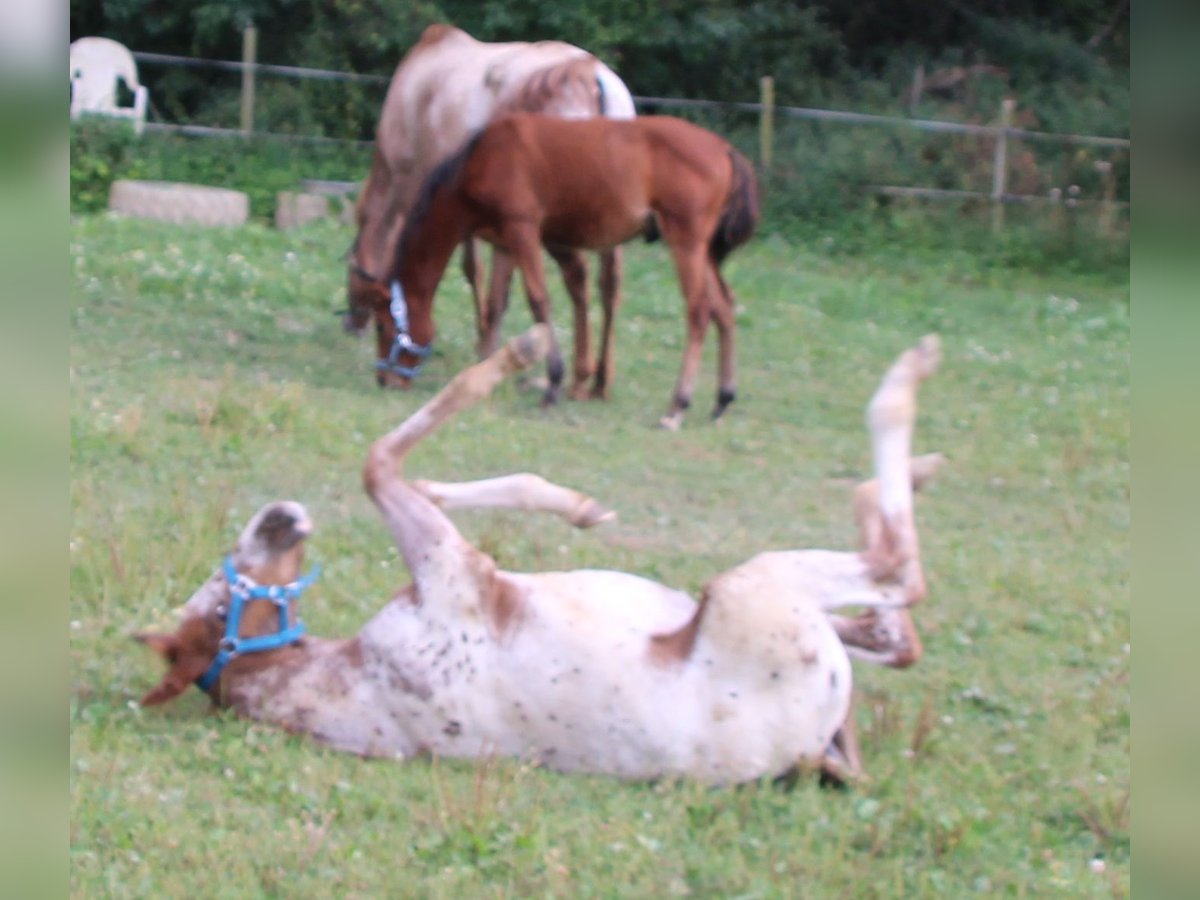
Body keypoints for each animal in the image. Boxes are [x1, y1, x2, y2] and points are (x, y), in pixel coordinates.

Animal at [138, 324, 945, 782]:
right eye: (221, 590)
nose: (277, 517)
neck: (349, 679)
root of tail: (813, 747)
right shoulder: (458, 573)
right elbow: (382, 460)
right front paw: (524, 349)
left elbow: (421, 473)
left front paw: (578, 505)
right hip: (756, 586)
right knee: (899, 575)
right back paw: (910, 384)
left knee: (897, 631)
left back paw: (913, 465)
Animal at [345, 112, 758, 429]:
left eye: (382, 326)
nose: (384, 378)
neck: (481, 158)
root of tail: (724, 148)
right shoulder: (506, 245)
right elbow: (496, 305)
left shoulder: (524, 232)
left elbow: (538, 301)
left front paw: (554, 384)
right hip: (705, 253)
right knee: (724, 308)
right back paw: (723, 398)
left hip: (686, 244)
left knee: (699, 312)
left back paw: (678, 405)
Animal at [350, 23, 638, 398]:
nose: (352, 322)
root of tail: (591, 77)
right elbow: (498, 293)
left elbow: (474, 271)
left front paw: (485, 346)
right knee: (608, 286)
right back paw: (597, 380)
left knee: (580, 281)